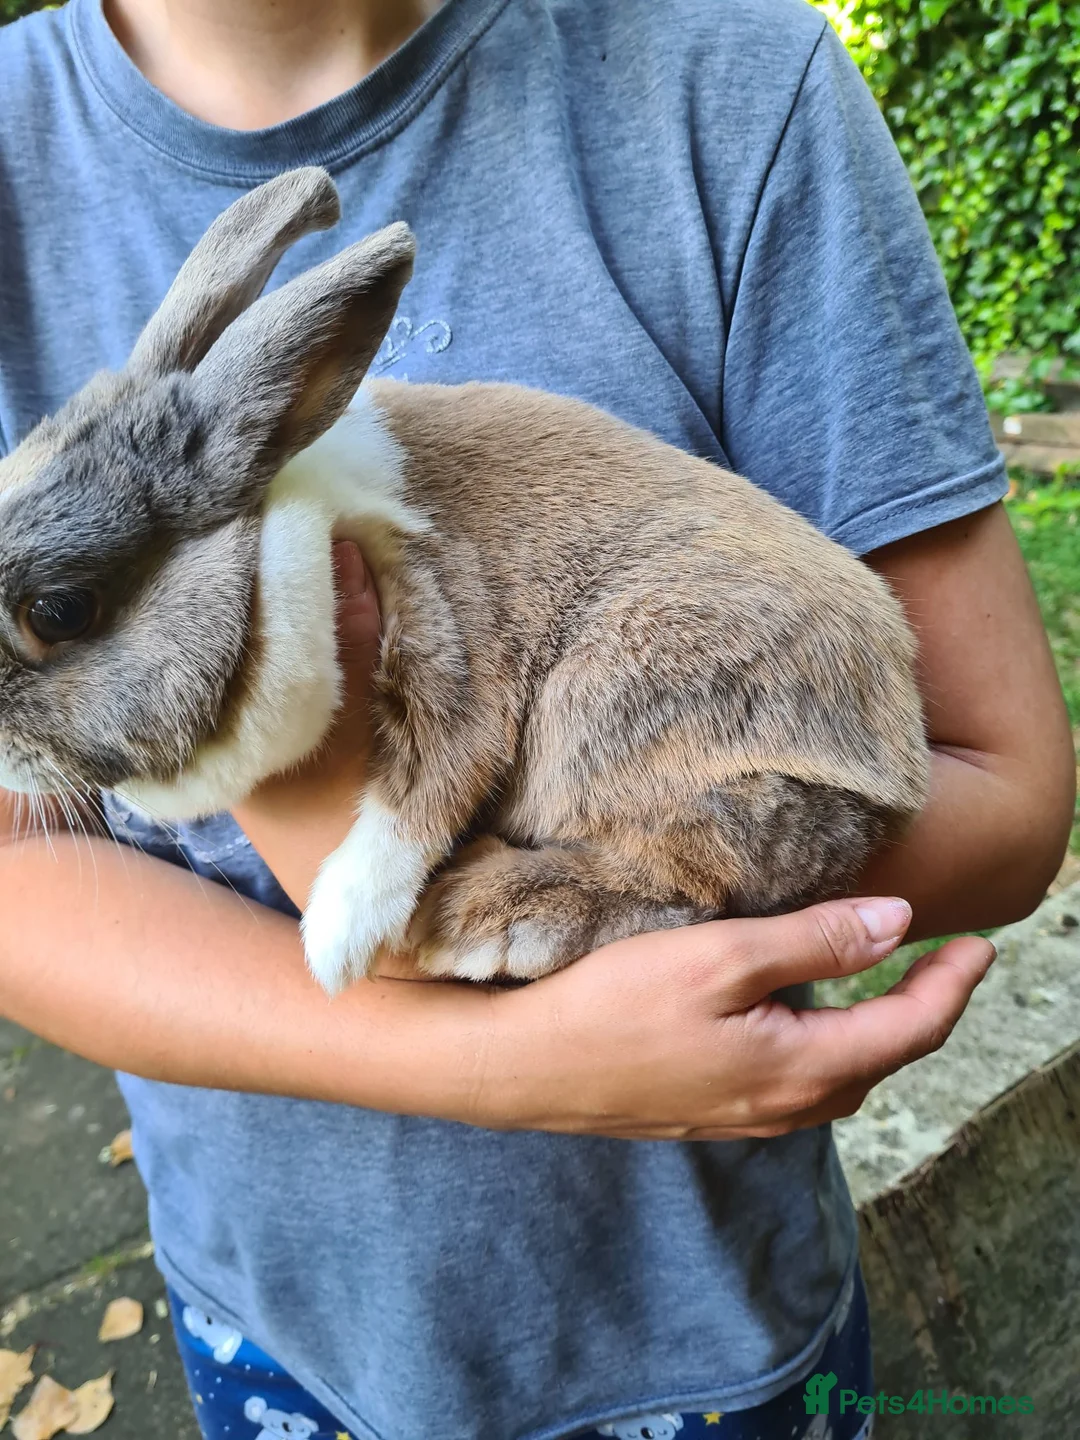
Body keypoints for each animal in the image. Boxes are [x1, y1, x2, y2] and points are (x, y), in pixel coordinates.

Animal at [0, 167, 929, 995]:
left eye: (59, 609)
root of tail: (894, 764)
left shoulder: (441, 624)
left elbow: (427, 785)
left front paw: (338, 936)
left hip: (615, 701)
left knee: (703, 874)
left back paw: (488, 921)